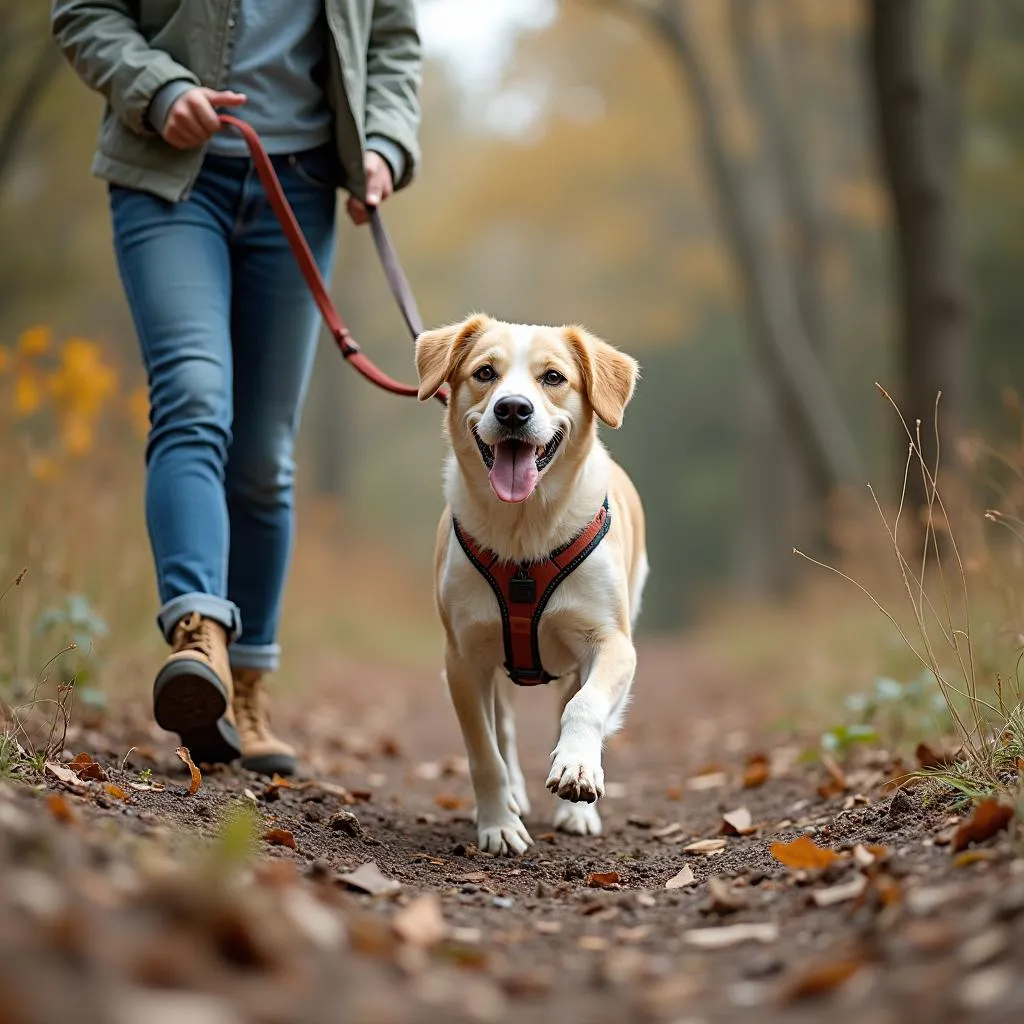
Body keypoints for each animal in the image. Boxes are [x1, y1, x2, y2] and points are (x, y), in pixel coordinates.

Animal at [411, 313, 643, 856]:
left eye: (553, 377)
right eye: (485, 372)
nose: (513, 408)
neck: (524, 532)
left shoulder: (612, 642)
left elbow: (584, 706)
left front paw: (577, 768)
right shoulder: (464, 657)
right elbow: (485, 751)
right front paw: (498, 824)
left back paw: (576, 810)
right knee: (505, 727)